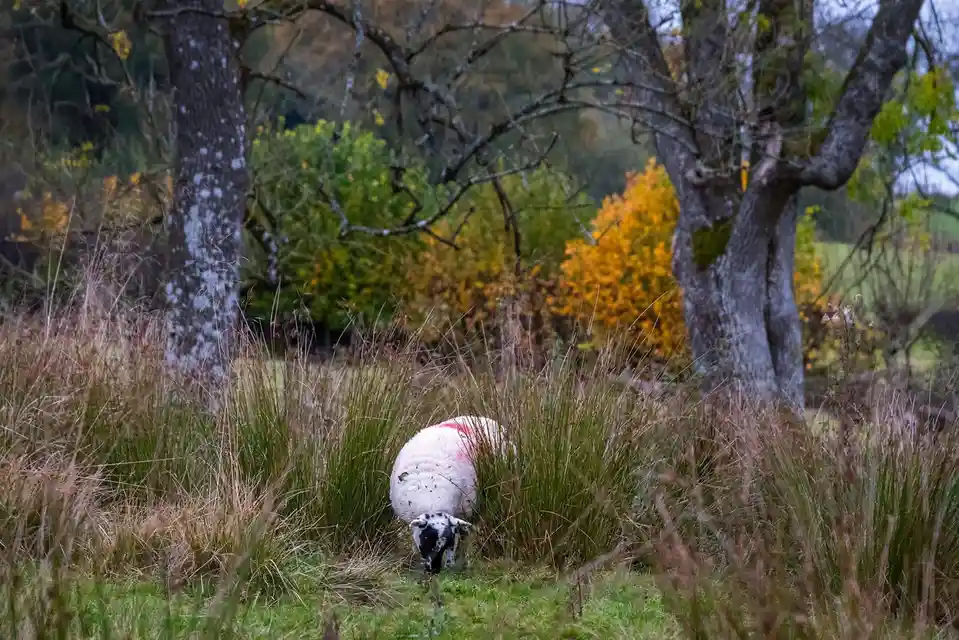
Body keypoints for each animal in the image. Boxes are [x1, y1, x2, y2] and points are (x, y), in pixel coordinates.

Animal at [389, 415, 506, 575]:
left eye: (445, 545)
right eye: (426, 540)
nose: (434, 570)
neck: (431, 498)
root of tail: (481, 417)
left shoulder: (462, 515)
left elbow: (459, 541)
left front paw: (453, 563)